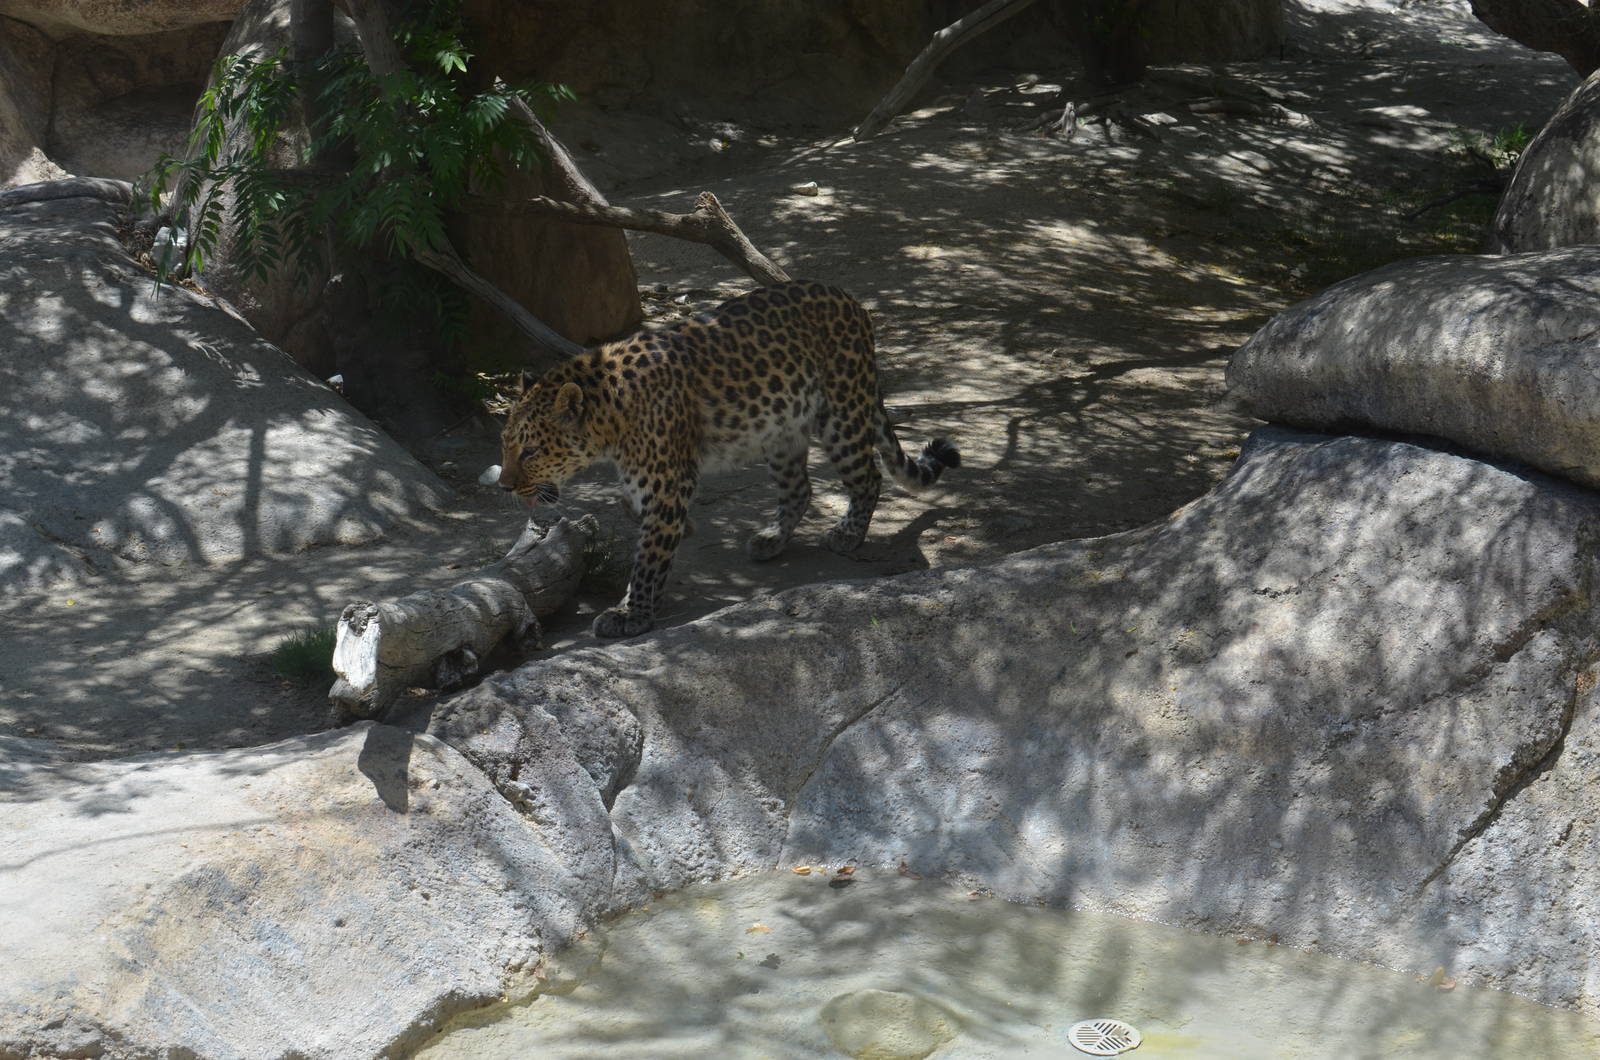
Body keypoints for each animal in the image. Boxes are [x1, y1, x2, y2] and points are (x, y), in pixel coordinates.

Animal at [498, 280, 960, 639]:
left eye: (531, 450)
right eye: (505, 444)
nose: (504, 486)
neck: (610, 418)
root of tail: (852, 302)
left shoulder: (668, 480)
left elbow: (648, 557)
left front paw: (632, 613)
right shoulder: (655, 479)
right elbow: (632, 508)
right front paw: (678, 532)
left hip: (842, 414)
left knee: (868, 477)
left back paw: (847, 534)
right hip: (782, 429)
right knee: (800, 488)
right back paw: (772, 539)